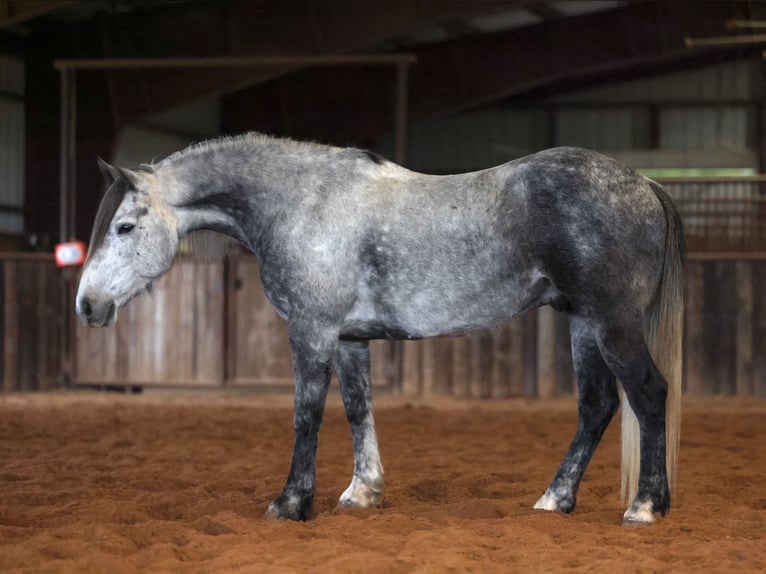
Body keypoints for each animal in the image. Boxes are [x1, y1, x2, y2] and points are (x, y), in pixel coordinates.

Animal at [75, 133, 684, 525]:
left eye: (124, 226)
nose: (86, 305)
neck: (301, 203)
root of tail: (645, 183)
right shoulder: (349, 339)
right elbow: (356, 409)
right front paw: (361, 493)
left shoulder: (312, 331)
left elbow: (306, 414)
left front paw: (290, 504)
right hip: (583, 323)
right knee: (597, 406)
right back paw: (556, 500)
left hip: (612, 324)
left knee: (648, 394)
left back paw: (645, 506)